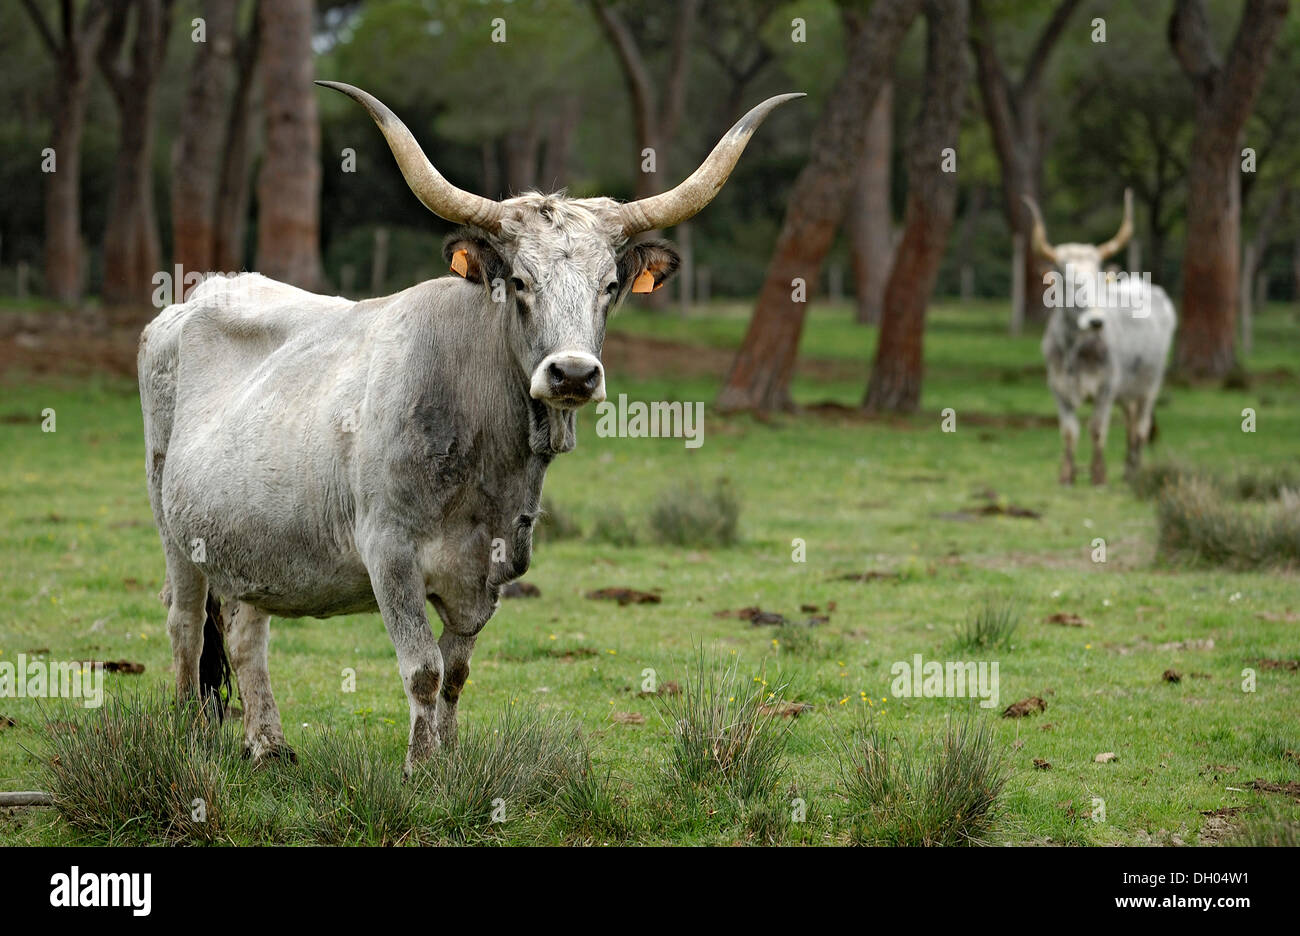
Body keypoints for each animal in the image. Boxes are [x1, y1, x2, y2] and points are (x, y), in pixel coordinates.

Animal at [138, 81, 801, 773]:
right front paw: (420, 769)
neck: (485, 456)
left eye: (611, 284)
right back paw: (188, 738)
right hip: (174, 530)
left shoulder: (487, 572)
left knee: (246, 632)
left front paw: (450, 762)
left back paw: (267, 745)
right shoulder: (389, 553)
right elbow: (423, 670)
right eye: (519, 281)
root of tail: (201, 295)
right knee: (184, 623)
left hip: (248, 541)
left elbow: (455, 672)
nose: (572, 373)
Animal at [1022, 190, 1177, 486]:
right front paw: (1067, 475)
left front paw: (1098, 475)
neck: (1073, 349)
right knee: (1130, 422)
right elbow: (1069, 431)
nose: (1096, 321)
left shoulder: (1106, 387)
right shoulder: (1058, 387)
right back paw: (1128, 469)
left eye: (1098, 279)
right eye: (1069, 281)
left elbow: (1096, 429)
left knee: (1141, 427)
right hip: (1127, 390)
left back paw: (1135, 471)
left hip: (1149, 385)